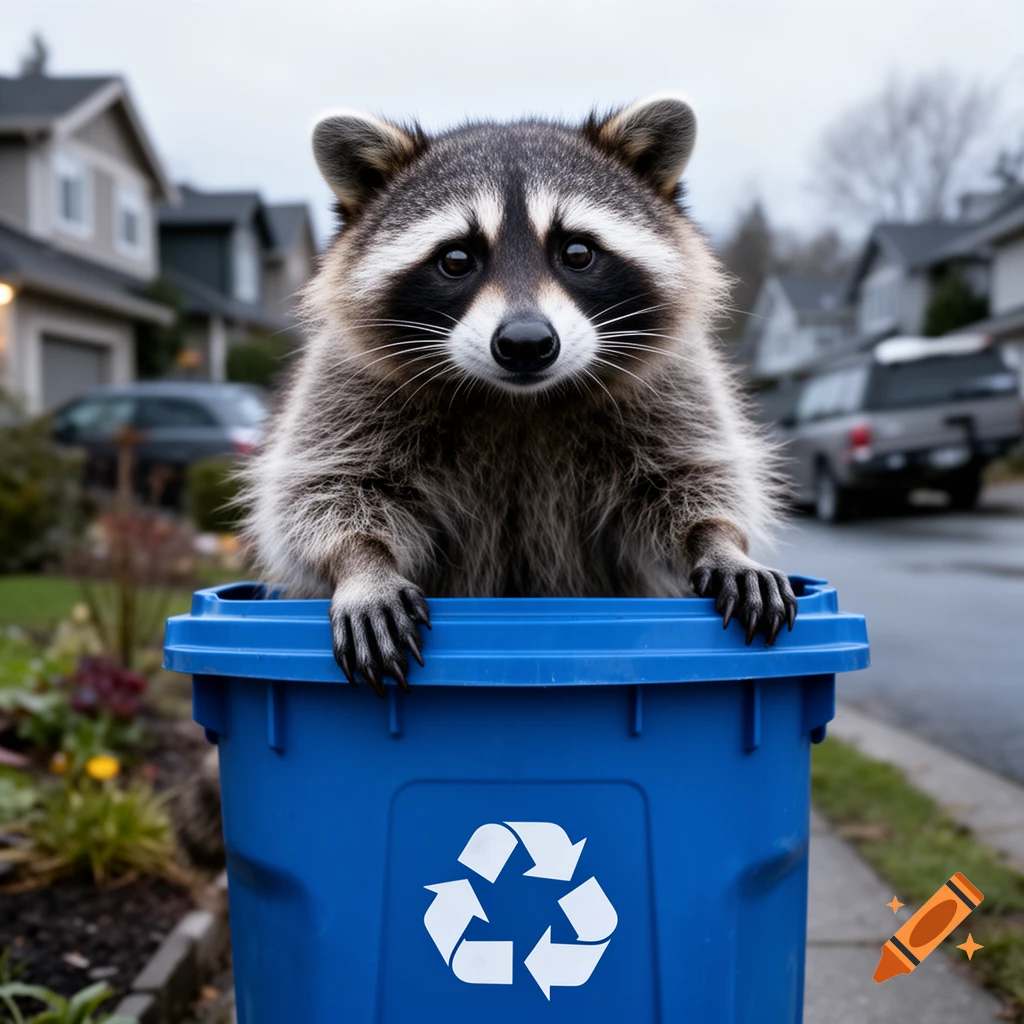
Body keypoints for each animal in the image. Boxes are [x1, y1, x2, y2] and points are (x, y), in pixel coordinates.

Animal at [245, 94, 797, 693]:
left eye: (577, 252)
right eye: (456, 259)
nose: (526, 343)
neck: (518, 403)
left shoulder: (672, 382)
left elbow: (693, 473)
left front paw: (719, 539)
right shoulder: (347, 383)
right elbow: (322, 489)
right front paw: (361, 562)